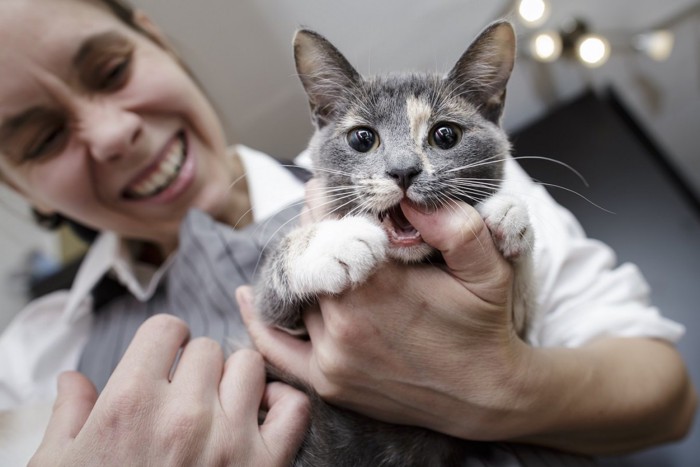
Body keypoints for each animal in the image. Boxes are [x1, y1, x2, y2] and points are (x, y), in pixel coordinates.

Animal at [254, 19, 532, 467]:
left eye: (445, 134)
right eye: (362, 138)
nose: (403, 170)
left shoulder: (522, 333)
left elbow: (524, 308)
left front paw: (508, 212)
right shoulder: (272, 321)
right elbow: (271, 290)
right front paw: (338, 241)